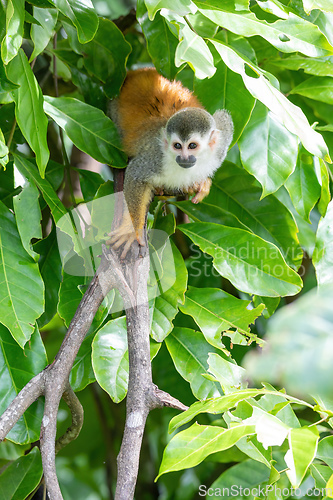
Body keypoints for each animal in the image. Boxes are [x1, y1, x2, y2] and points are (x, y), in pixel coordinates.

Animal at [106, 67, 233, 258]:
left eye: (192, 146)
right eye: (177, 146)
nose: (184, 158)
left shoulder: (221, 146)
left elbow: (224, 119)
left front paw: (202, 184)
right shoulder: (156, 158)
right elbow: (135, 176)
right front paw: (130, 229)